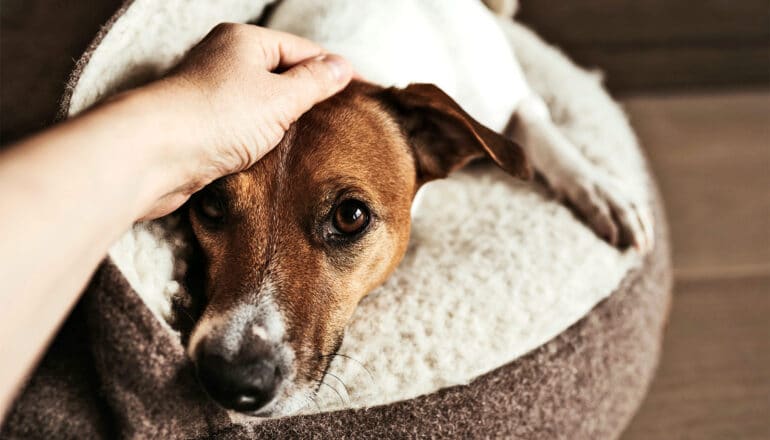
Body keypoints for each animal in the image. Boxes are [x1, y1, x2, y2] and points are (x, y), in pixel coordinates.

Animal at [184, 0, 648, 416]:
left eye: (350, 217)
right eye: (210, 204)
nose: (231, 380)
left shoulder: (513, 98)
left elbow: (539, 128)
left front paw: (601, 190)